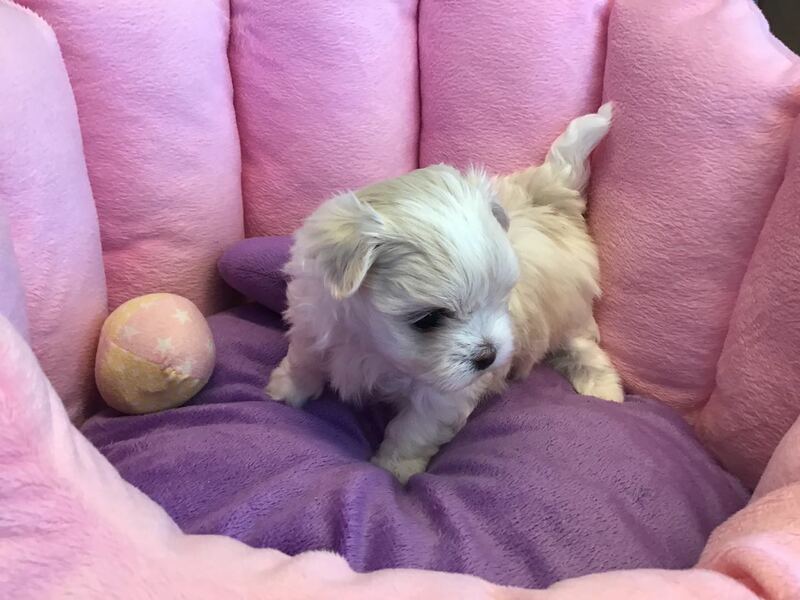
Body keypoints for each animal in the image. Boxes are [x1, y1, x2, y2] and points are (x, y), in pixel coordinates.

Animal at [267, 103, 623, 483]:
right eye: (428, 319)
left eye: (502, 298)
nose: (488, 356)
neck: (371, 343)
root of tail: (546, 197)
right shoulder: (315, 318)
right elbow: (304, 359)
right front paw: (284, 391)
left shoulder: (441, 397)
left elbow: (413, 430)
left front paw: (394, 469)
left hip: (571, 313)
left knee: (582, 347)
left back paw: (603, 388)